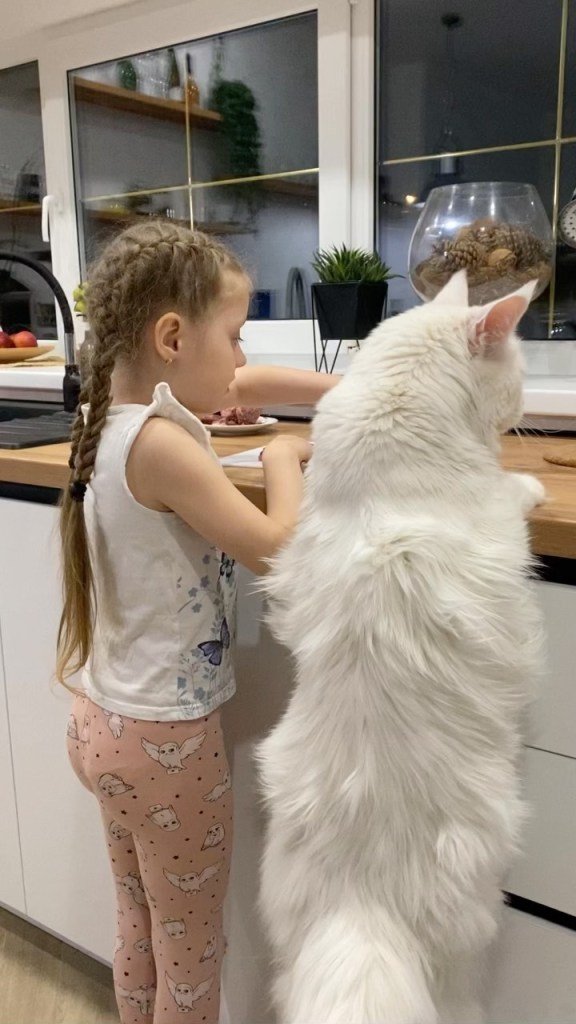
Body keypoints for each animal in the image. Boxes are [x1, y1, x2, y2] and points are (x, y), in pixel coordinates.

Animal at [258, 272, 545, 1024]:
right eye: (516, 374)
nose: (525, 406)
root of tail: (360, 912)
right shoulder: (498, 509)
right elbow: (515, 491)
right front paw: (533, 481)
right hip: (465, 951)